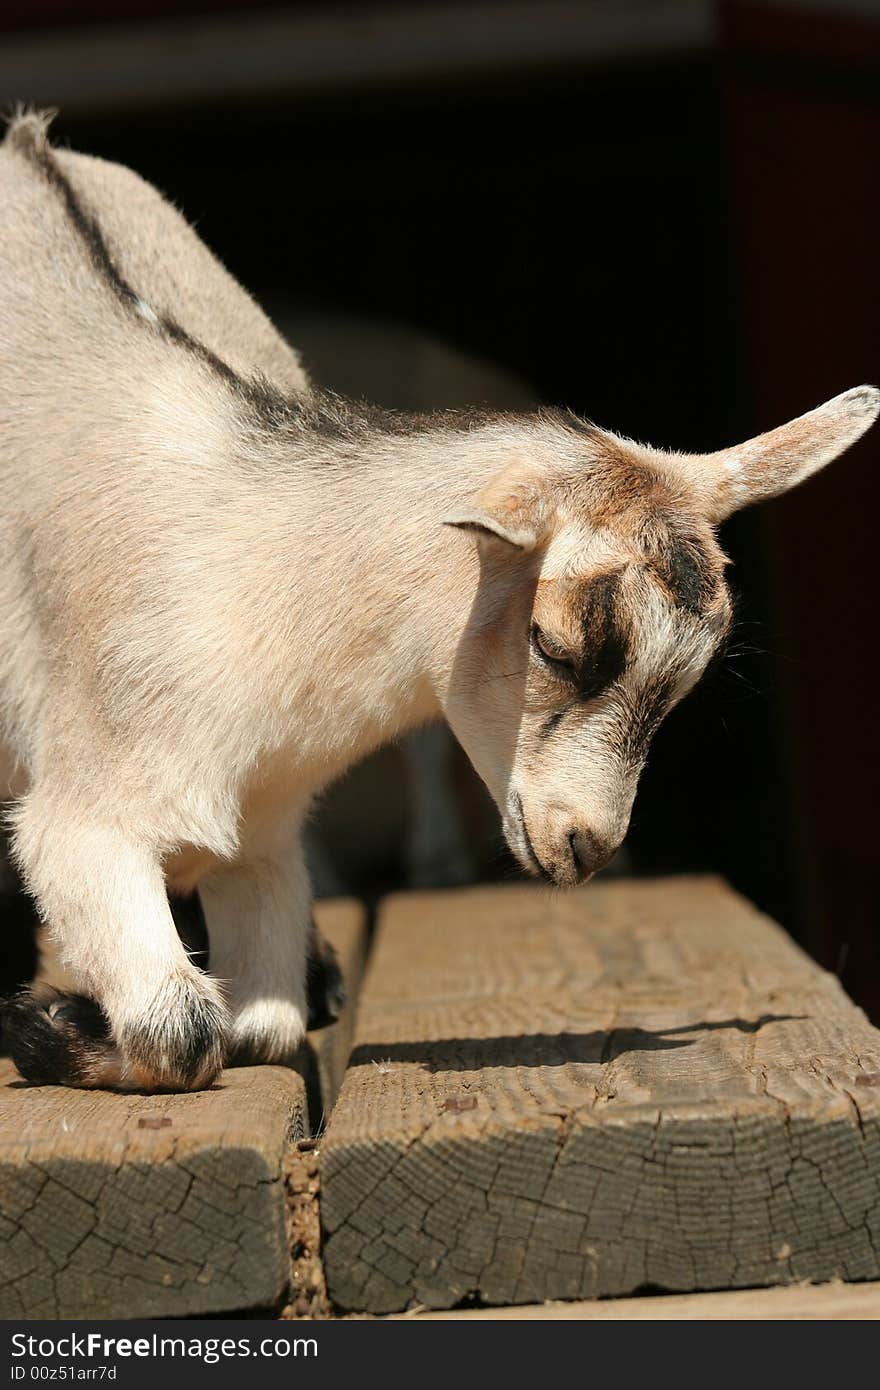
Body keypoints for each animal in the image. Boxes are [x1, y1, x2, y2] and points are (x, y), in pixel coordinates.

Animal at [1, 113, 878, 1089]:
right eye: (553, 643)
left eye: (689, 678)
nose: (586, 847)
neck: (242, 560)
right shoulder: (84, 816)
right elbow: (183, 1032)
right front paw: (39, 1020)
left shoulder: (263, 836)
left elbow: (262, 1029)